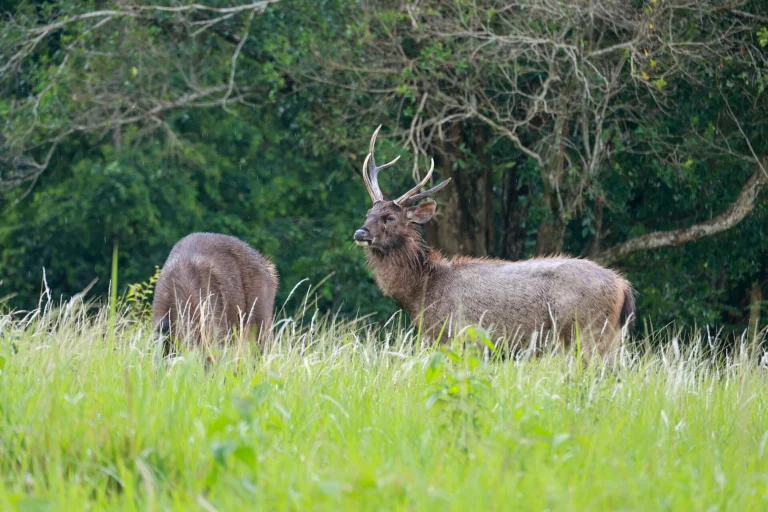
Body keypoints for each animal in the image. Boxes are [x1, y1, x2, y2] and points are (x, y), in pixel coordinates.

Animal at [353, 126, 635, 363]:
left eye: (390, 217)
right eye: (368, 213)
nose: (359, 232)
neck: (421, 294)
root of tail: (623, 286)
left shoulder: (458, 336)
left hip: (588, 332)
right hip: (611, 338)